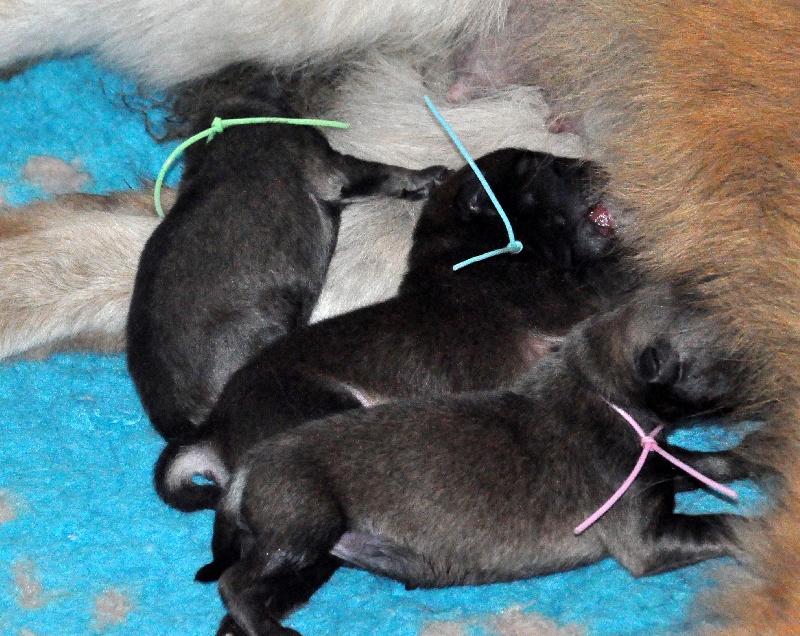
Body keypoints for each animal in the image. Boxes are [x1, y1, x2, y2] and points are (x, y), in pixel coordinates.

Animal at [199, 284, 751, 636]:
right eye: (735, 356)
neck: (603, 388)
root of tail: (245, 469)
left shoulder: (658, 465)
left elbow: (695, 464)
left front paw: (747, 458)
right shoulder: (645, 541)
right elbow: (723, 522)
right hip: (304, 526)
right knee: (235, 584)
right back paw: (272, 631)